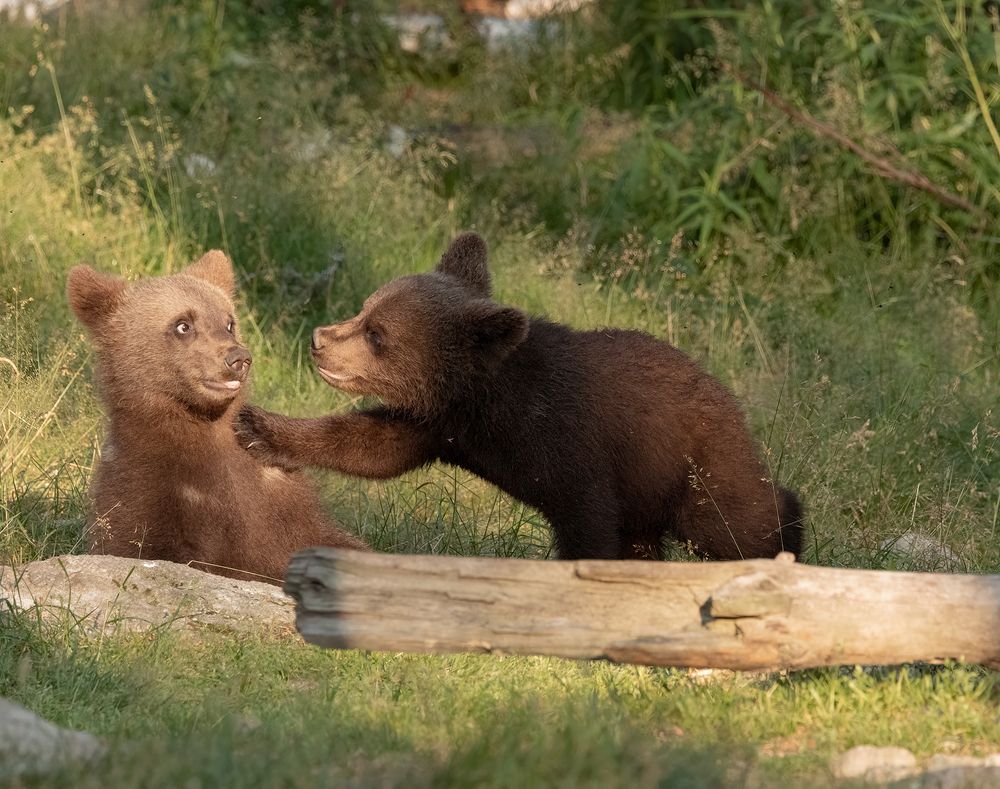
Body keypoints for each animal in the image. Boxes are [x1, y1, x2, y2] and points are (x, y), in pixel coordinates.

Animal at [68, 251, 368, 585]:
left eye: (229, 322)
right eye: (183, 325)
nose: (238, 359)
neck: (205, 424)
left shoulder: (274, 493)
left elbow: (322, 538)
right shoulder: (147, 487)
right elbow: (144, 544)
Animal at [236, 233, 803, 562]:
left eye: (378, 334)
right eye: (365, 307)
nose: (320, 339)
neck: (485, 403)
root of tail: (733, 405)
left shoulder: (575, 445)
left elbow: (588, 524)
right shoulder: (437, 424)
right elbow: (368, 445)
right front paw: (257, 427)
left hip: (692, 465)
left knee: (737, 522)